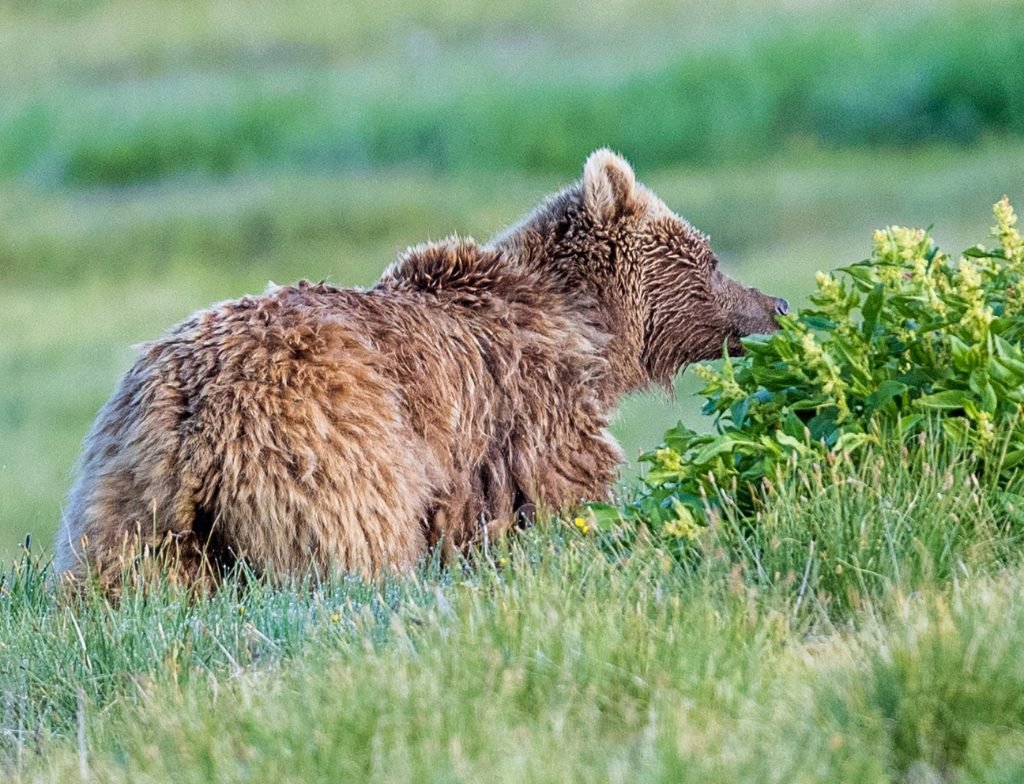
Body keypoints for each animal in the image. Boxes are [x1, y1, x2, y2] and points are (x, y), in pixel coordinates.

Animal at [54, 149, 787, 589]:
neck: (588, 333)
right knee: (357, 541)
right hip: (326, 445)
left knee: (125, 576)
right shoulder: (525, 413)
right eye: (709, 256)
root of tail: (190, 402)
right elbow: (558, 495)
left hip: (129, 491)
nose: (775, 304)